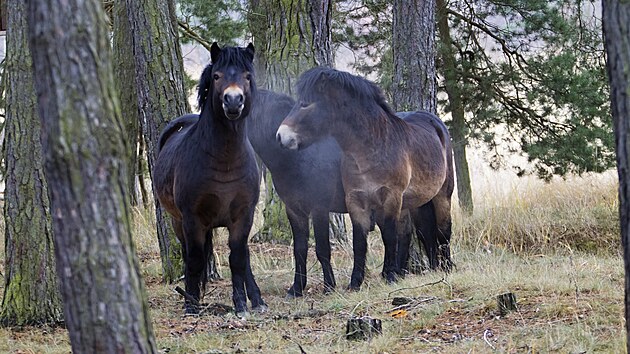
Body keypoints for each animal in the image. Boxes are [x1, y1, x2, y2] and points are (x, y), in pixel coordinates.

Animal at [154, 42, 266, 314]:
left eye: (247, 76)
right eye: (217, 76)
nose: (233, 100)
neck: (225, 161)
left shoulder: (243, 215)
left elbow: (238, 258)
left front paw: (241, 304)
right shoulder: (192, 219)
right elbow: (194, 259)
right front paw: (191, 304)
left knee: (244, 255)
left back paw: (257, 300)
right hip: (178, 222)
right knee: (188, 254)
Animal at [276, 67, 454, 290]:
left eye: (306, 103)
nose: (280, 136)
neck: (372, 149)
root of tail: (436, 123)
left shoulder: (391, 199)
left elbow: (389, 237)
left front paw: (389, 276)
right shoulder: (356, 201)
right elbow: (359, 244)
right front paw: (355, 283)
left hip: (442, 195)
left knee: (443, 231)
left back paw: (446, 268)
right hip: (413, 203)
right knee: (419, 234)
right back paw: (425, 269)